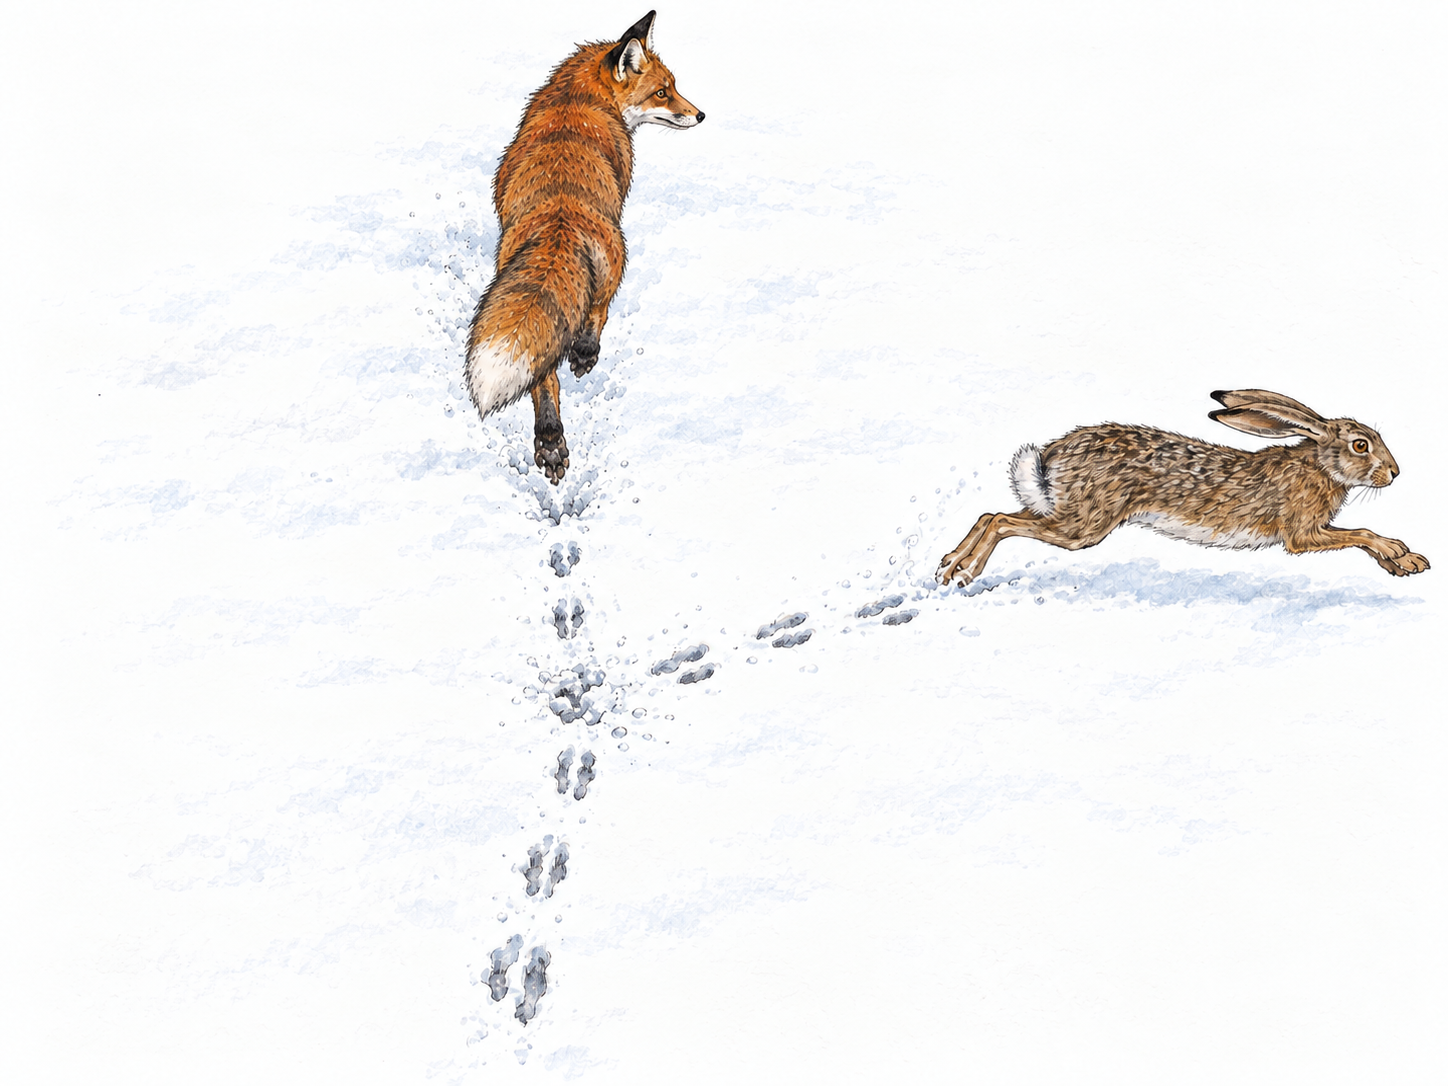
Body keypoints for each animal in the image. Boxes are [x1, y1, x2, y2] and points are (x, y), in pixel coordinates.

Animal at [465, 10, 704, 484]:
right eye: (664, 92)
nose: (701, 114)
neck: (578, 95)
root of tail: (560, 218)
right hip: (618, 253)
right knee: (597, 311)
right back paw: (583, 358)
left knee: (544, 377)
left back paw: (550, 440)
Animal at [938, 389, 1430, 586]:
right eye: (1361, 445)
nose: (1395, 473)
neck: (1319, 465)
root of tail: (1051, 456)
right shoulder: (1302, 533)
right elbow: (1361, 534)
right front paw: (1402, 556)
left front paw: (1405, 562)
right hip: (1085, 526)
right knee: (1002, 521)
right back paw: (964, 572)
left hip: (1066, 512)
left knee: (993, 514)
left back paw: (949, 567)